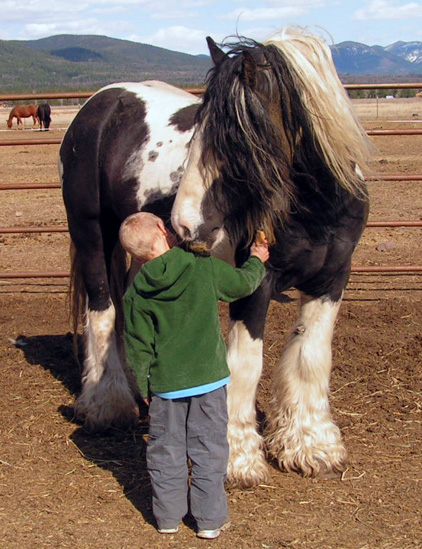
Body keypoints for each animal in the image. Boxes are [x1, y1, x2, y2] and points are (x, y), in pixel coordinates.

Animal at [58, 26, 370, 488]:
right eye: (198, 131)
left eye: (237, 140)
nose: (184, 224)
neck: (317, 207)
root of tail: (100, 103)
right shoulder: (255, 284)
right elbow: (245, 365)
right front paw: (237, 460)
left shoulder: (331, 280)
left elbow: (310, 355)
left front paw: (310, 446)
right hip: (92, 235)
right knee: (102, 312)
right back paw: (106, 403)